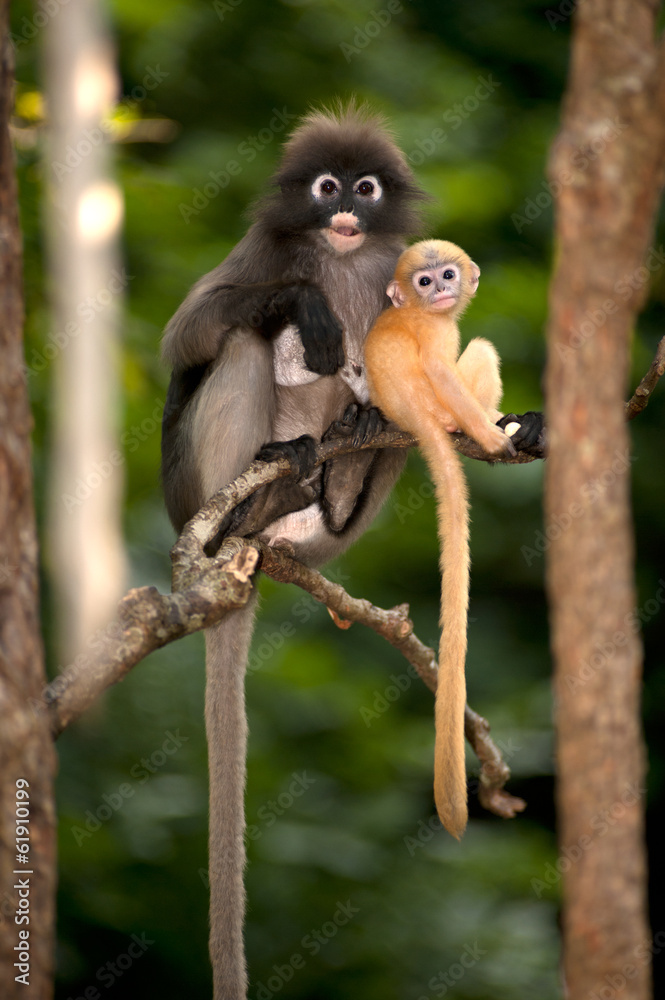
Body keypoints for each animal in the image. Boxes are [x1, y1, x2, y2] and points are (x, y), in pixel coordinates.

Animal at [161, 104, 427, 999]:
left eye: (365, 188)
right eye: (325, 186)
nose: (343, 207)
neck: (341, 259)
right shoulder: (261, 251)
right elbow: (186, 340)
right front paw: (303, 301)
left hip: (332, 528)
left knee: (391, 409)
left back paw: (339, 469)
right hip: (196, 486)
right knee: (240, 342)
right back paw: (268, 482)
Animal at [365, 239, 522, 840]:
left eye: (447, 275)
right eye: (425, 282)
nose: (442, 291)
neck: (415, 311)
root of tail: (416, 419)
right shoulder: (437, 340)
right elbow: (444, 366)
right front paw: (497, 442)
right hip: (445, 407)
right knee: (478, 351)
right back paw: (493, 426)